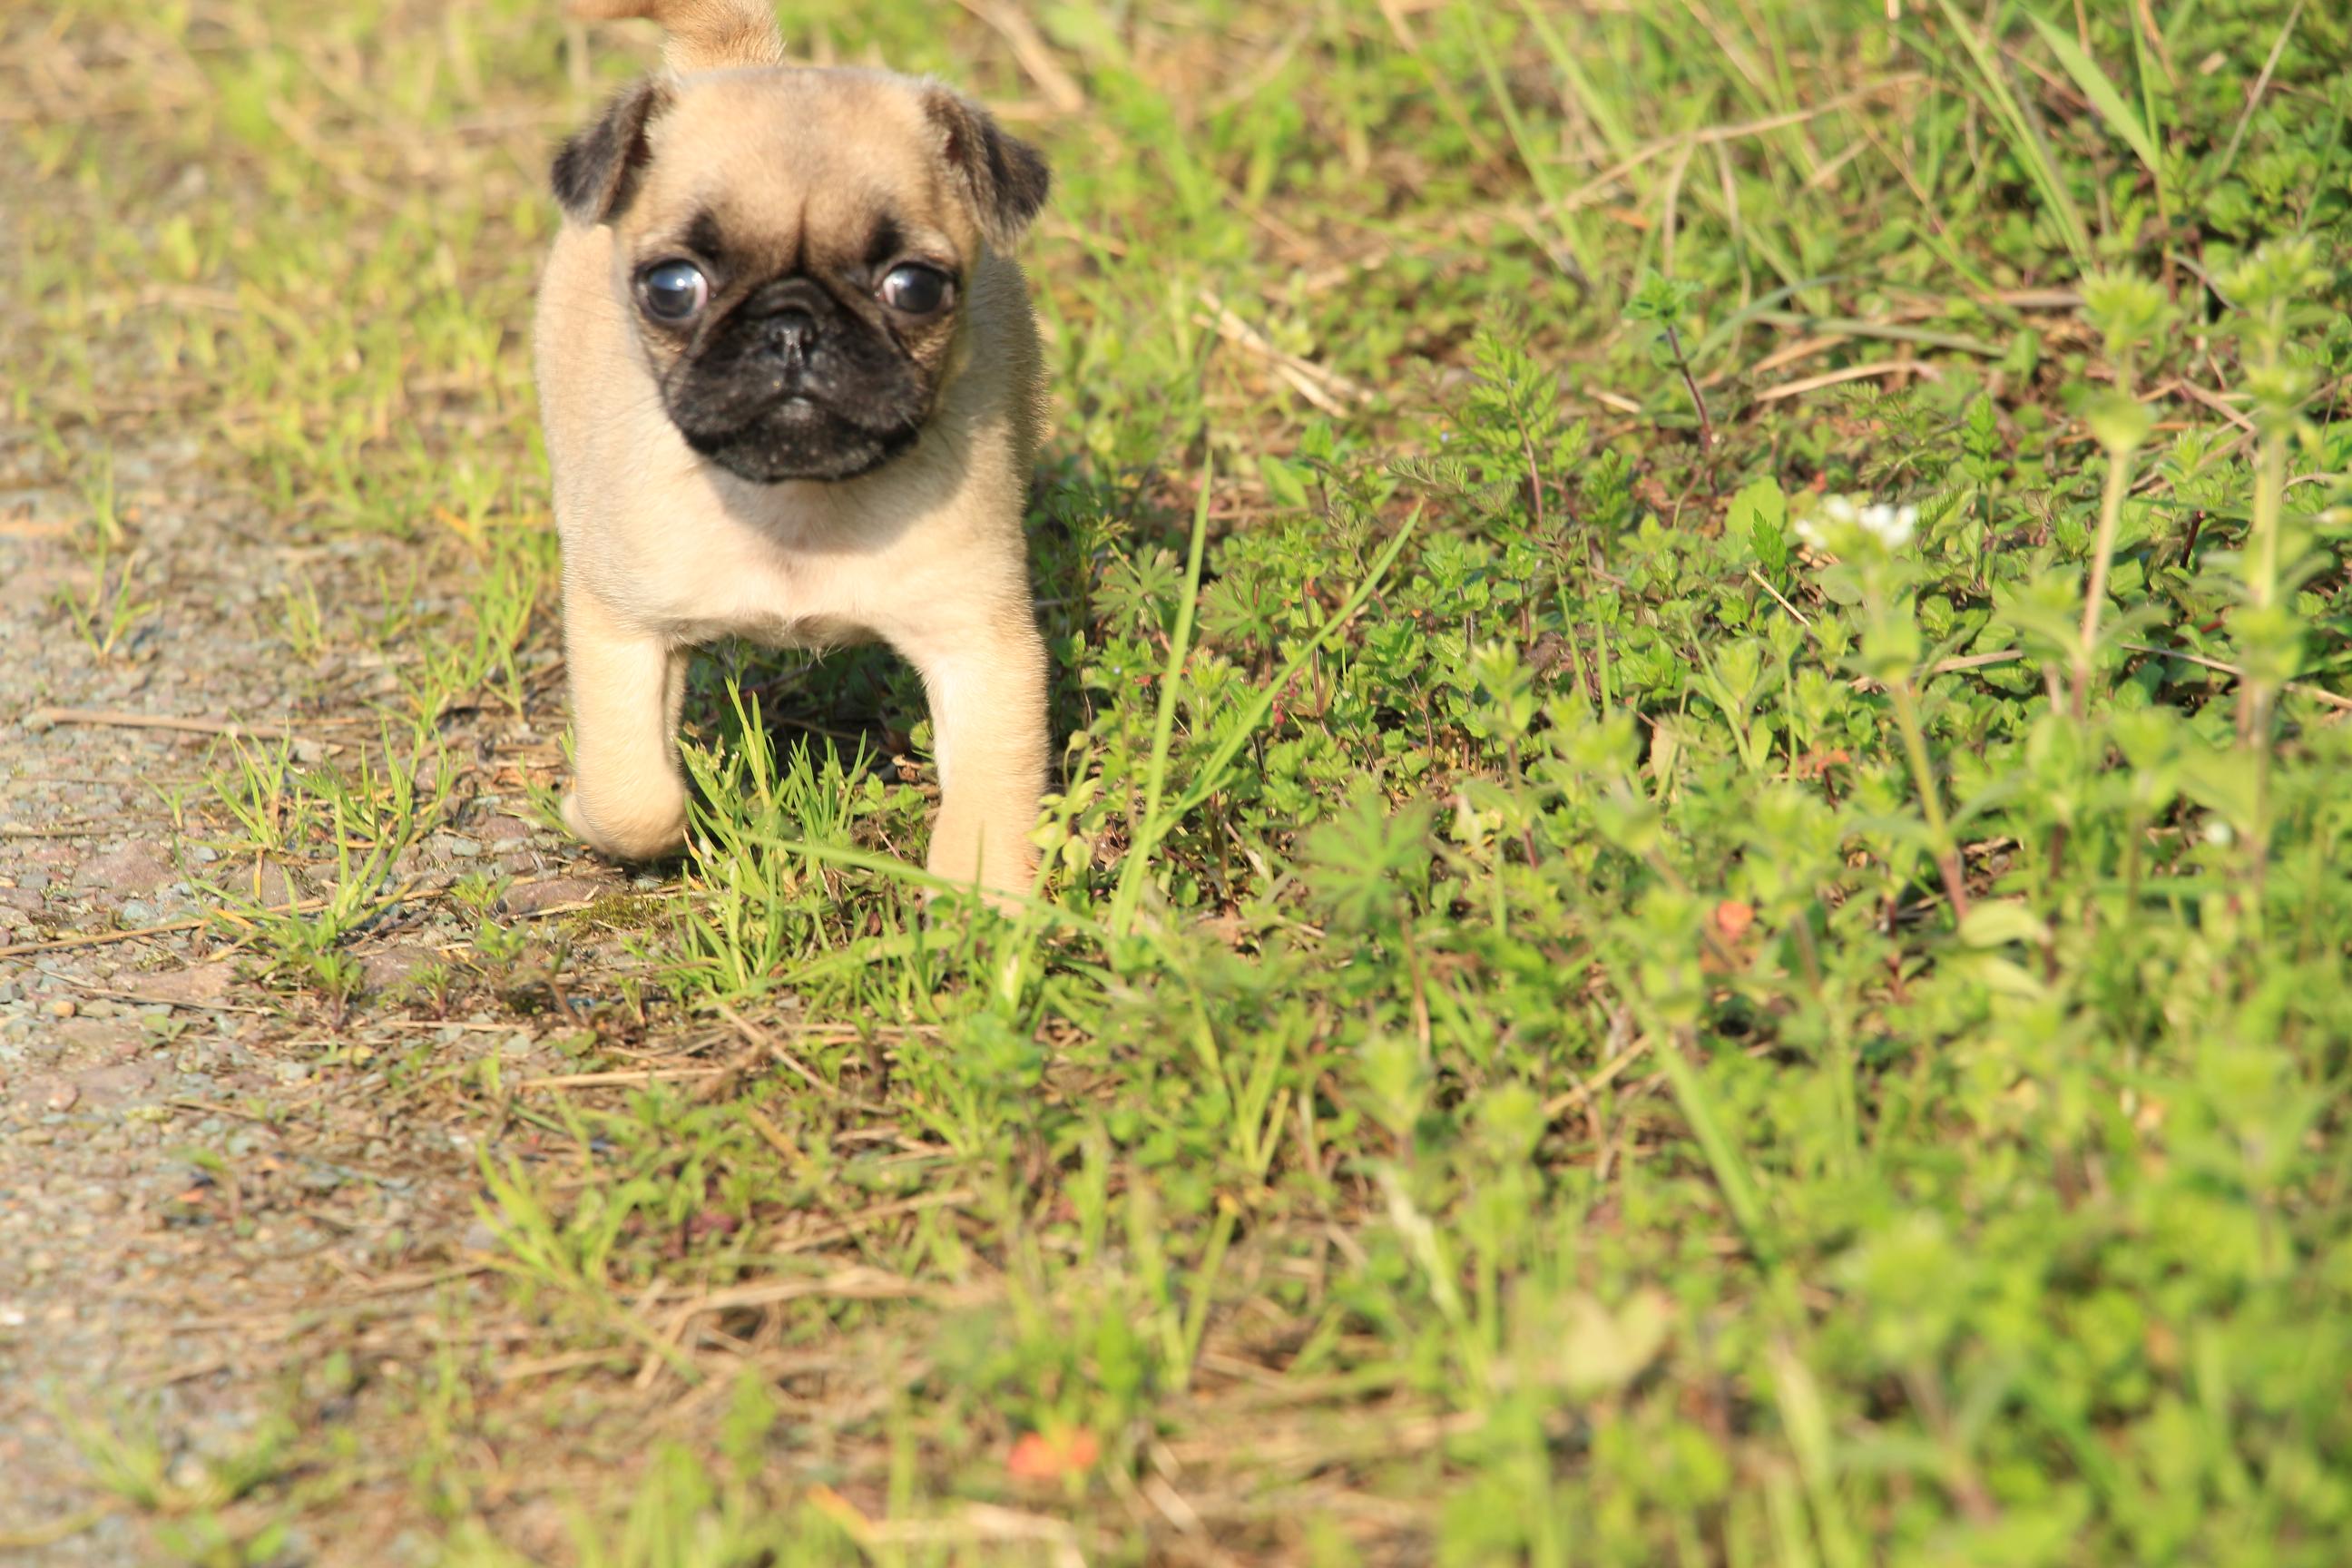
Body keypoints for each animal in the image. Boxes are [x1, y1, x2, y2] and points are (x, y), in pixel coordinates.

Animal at [538, 0, 1054, 902]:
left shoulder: (981, 647)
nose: (792, 326)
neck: (796, 503)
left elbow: (989, 812)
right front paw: (590, 817)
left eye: (914, 287)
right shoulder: (625, 629)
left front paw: (988, 916)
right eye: (671, 288)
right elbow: (635, 795)